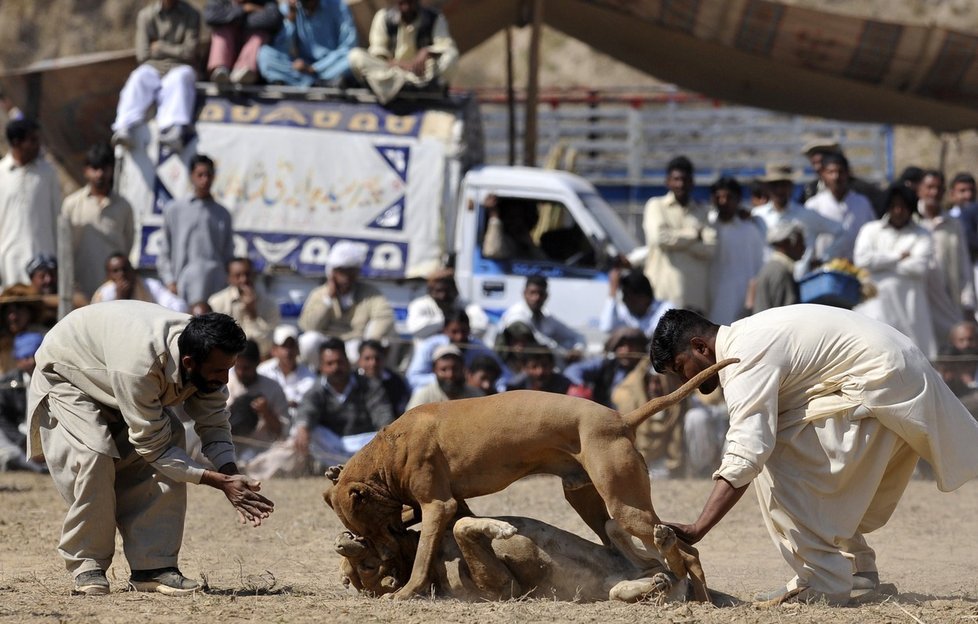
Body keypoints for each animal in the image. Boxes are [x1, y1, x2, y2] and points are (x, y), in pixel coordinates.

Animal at [324, 360, 736, 600]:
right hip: (588, 501)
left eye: (370, 533)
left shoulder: (438, 506)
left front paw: (407, 590)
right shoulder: (453, 505)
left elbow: (425, 555)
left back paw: (697, 594)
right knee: (643, 547)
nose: (384, 555)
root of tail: (620, 418)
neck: (387, 453)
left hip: (625, 504)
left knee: (686, 552)